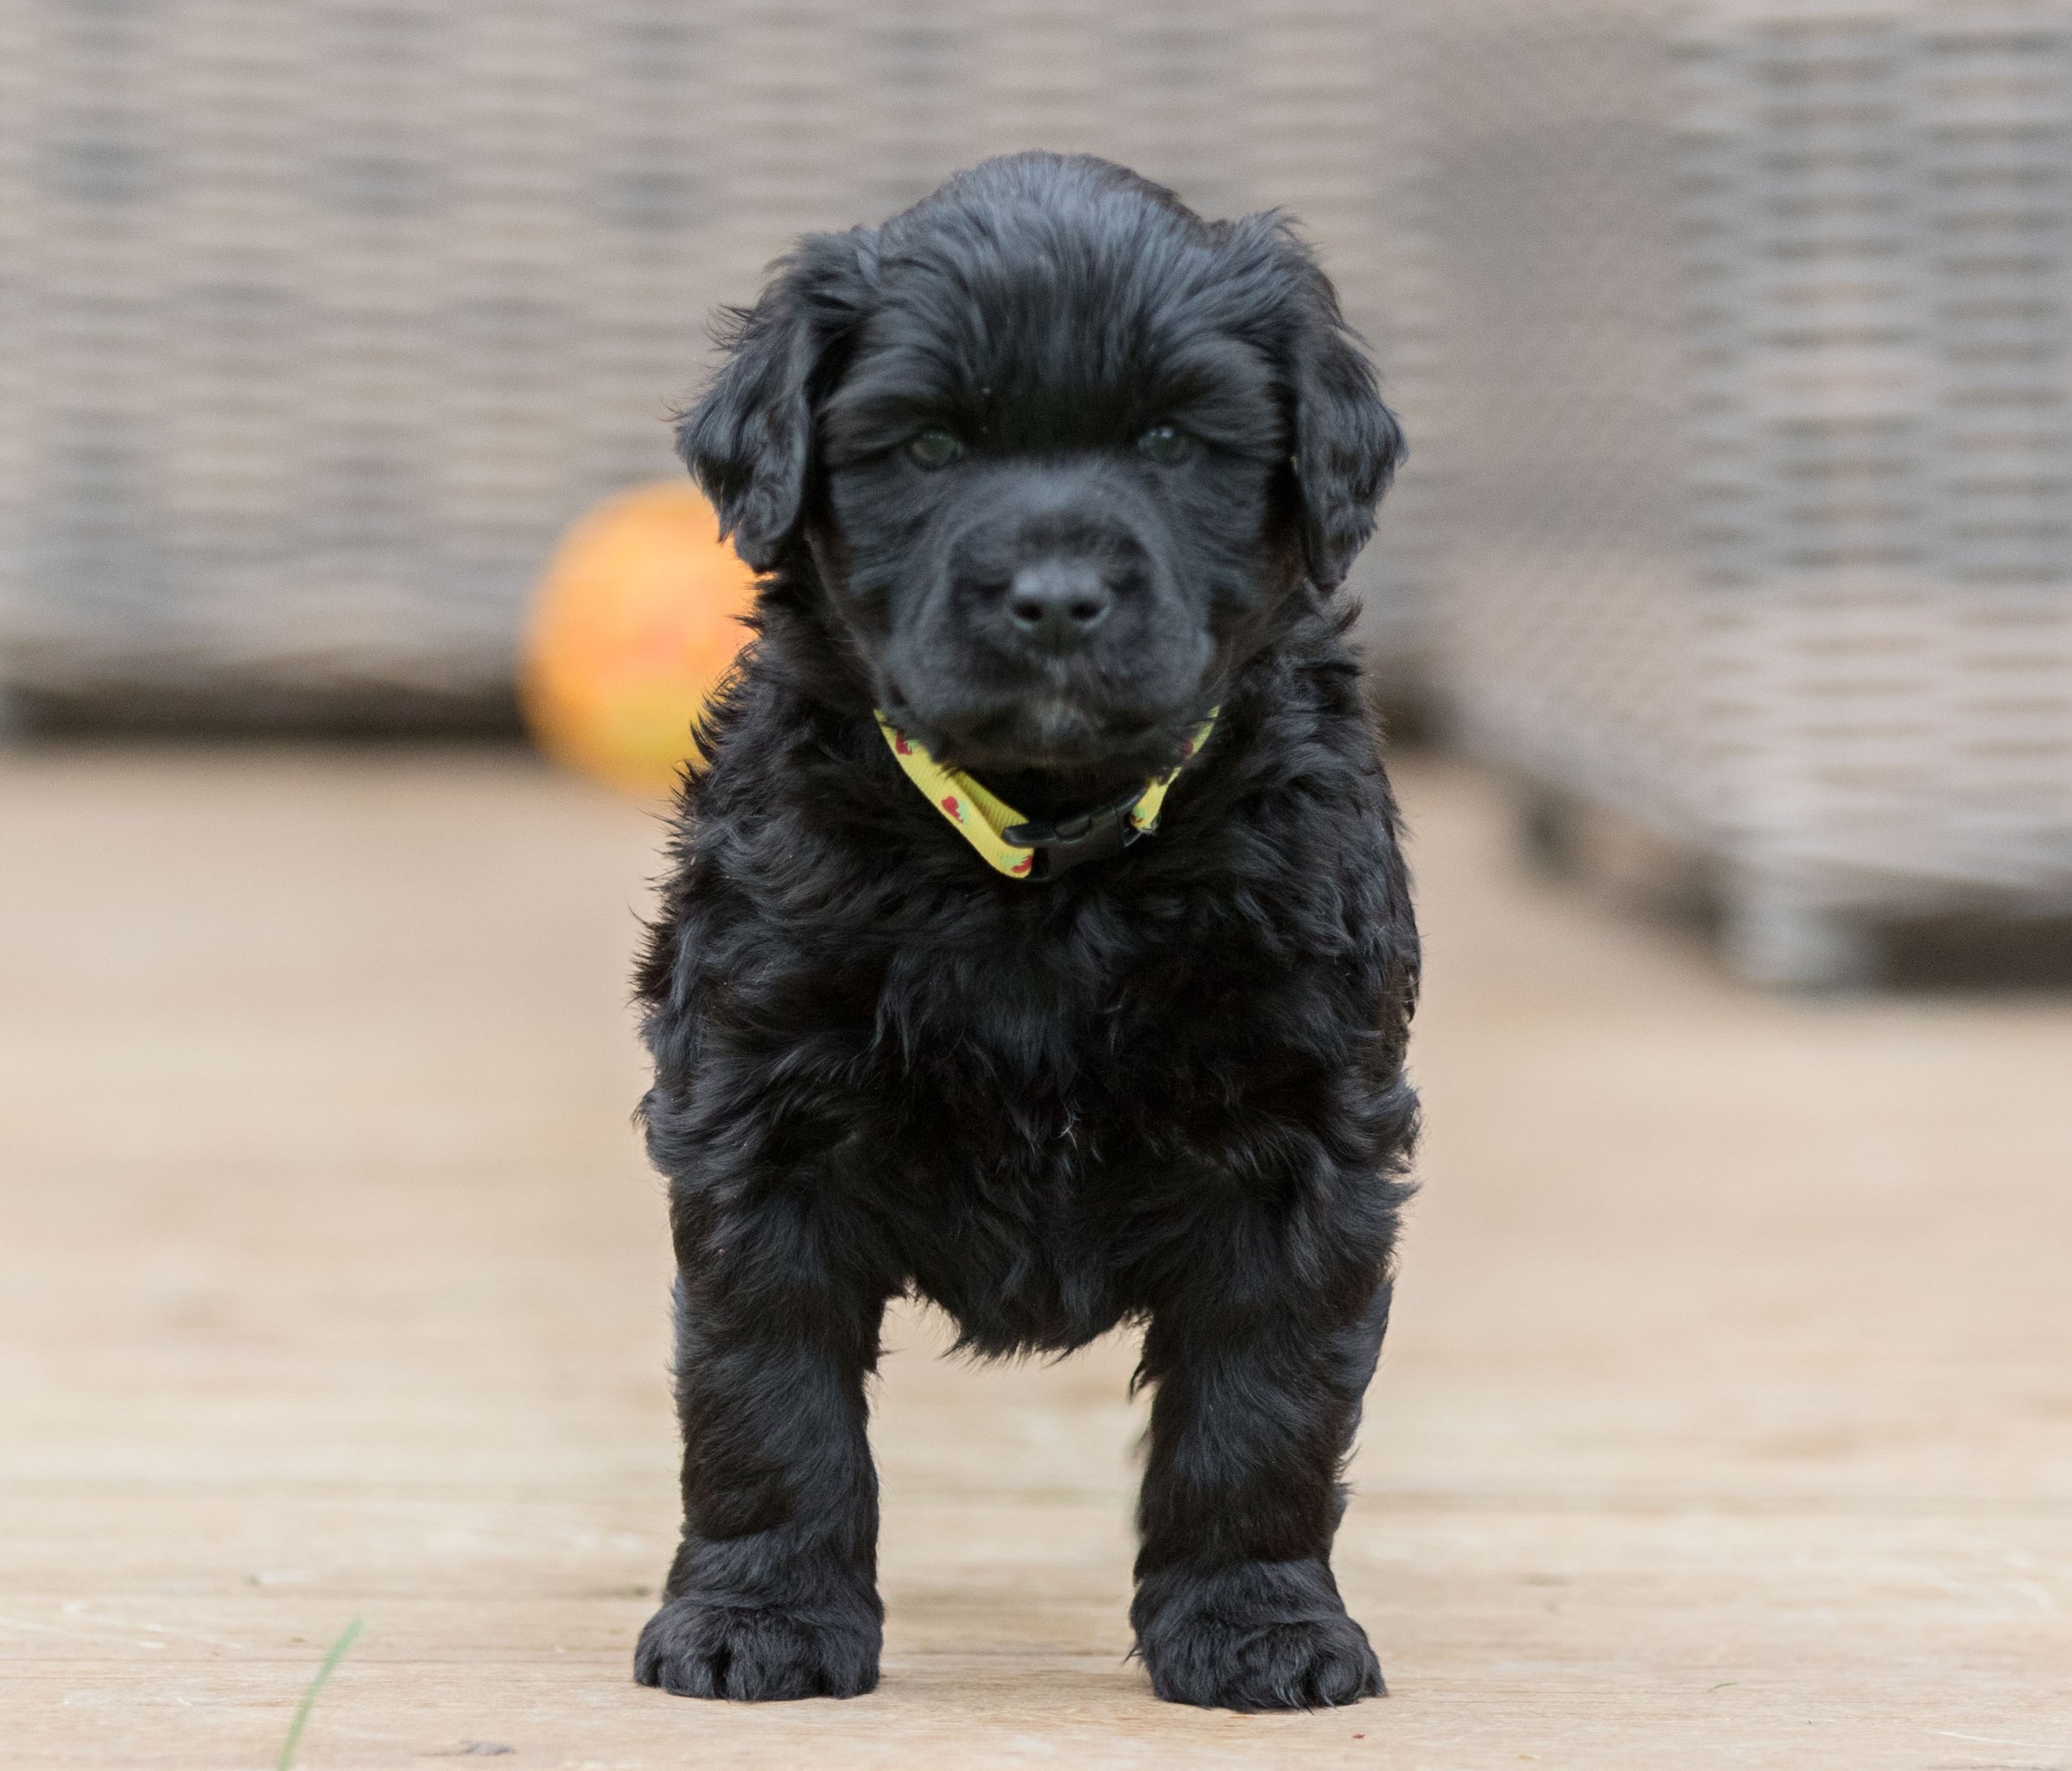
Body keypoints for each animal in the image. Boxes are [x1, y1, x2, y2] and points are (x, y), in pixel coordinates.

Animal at [622, 155, 1417, 1715]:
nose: (1054, 598)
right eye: (930, 446)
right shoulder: (755, 1111)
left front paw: (1259, 1625)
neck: (1045, 859)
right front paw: (756, 1615)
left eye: (1171, 439)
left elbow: (1263, 1401)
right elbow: (767, 1391)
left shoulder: (1307, 1136)